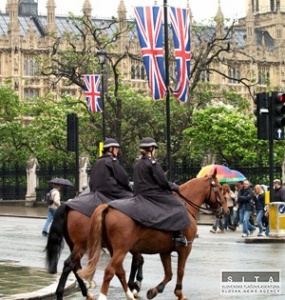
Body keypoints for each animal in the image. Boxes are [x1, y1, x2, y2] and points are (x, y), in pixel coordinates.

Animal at [77, 171, 229, 300]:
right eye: (220, 188)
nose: (225, 211)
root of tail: (108, 206)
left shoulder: (165, 251)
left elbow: (169, 273)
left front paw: (155, 290)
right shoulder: (185, 249)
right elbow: (180, 271)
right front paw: (179, 293)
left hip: (114, 249)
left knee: (119, 271)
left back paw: (129, 294)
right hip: (121, 249)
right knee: (110, 270)